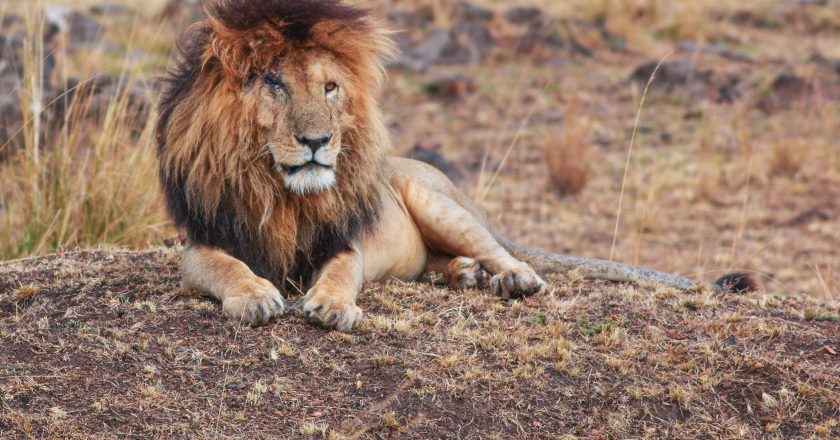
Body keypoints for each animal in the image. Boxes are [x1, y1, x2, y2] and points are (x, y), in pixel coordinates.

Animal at [157, 0, 716, 332]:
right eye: (275, 82)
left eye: (330, 87)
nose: (318, 141)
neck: (282, 192)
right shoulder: (203, 242)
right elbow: (227, 267)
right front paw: (254, 295)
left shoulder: (344, 242)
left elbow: (340, 272)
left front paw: (332, 305)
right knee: (444, 262)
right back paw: (463, 274)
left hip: (436, 202)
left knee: (499, 250)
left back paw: (513, 279)